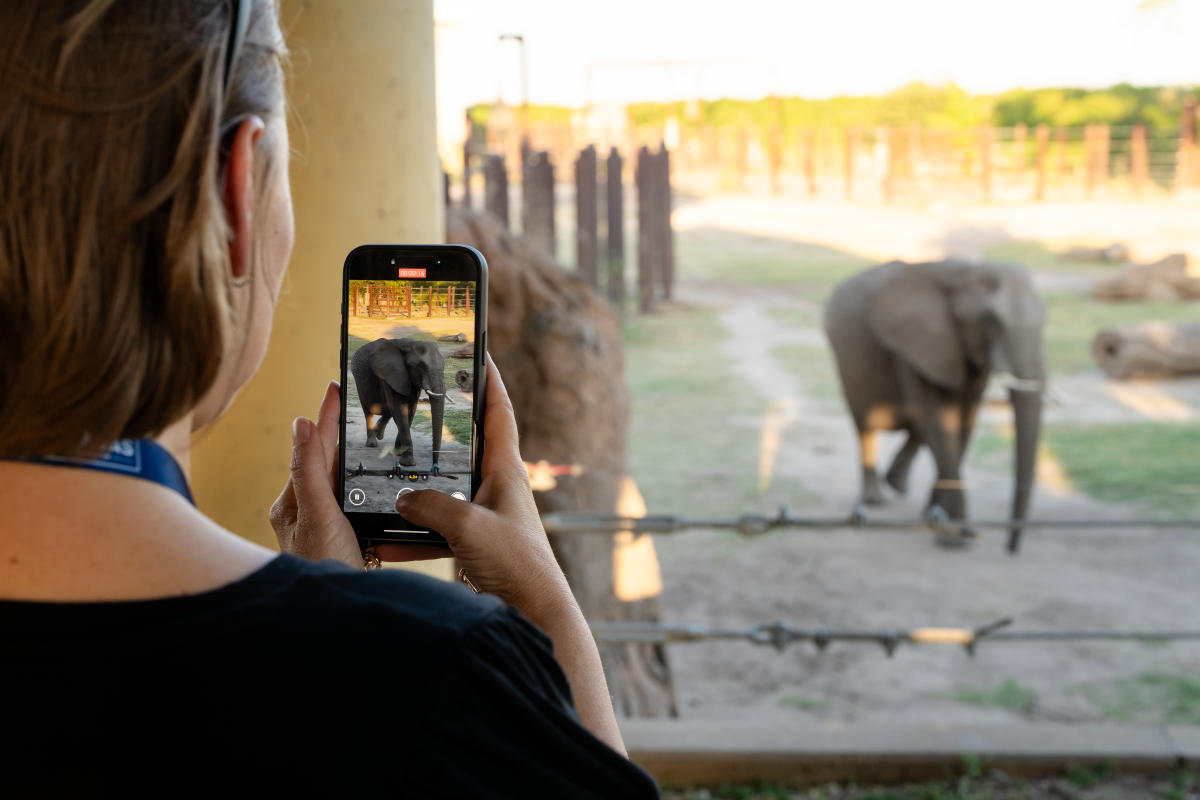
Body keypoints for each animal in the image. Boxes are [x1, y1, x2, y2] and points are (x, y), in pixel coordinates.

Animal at [350, 337, 446, 475]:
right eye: (421, 366)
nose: (435, 468)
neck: (410, 344)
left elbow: (410, 411)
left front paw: (398, 453)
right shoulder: (391, 375)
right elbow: (400, 411)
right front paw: (408, 463)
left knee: (388, 411)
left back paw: (379, 433)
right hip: (359, 381)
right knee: (368, 411)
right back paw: (372, 443)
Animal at [823, 259, 1045, 552]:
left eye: (1044, 321)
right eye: (990, 321)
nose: (1010, 549)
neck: (964, 272)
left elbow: (965, 420)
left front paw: (936, 518)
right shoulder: (915, 345)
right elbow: (939, 420)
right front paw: (954, 536)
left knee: (916, 427)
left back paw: (898, 482)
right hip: (845, 361)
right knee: (865, 425)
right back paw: (875, 498)